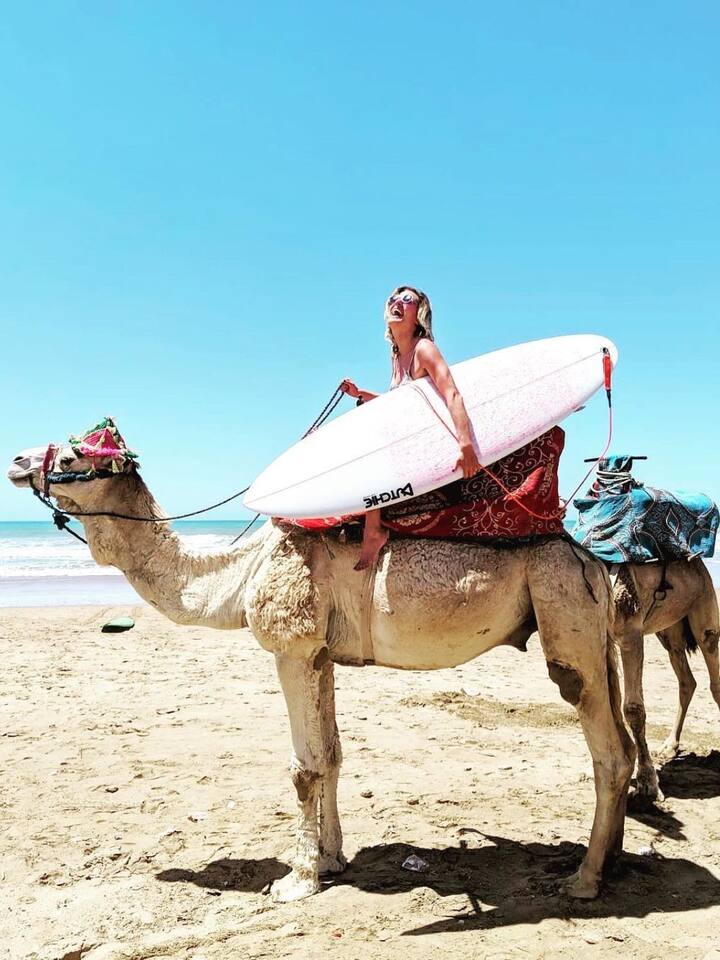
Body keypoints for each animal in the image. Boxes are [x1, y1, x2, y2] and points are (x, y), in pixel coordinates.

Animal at [8, 437, 635, 903]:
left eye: (73, 456)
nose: (16, 462)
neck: (238, 573)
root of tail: (590, 559)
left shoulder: (291, 648)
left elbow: (304, 767)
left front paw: (298, 879)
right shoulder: (321, 654)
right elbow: (332, 754)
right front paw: (332, 860)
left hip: (564, 615)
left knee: (606, 751)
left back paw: (583, 880)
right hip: (591, 631)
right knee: (624, 742)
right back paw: (613, 860)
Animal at [612, 561, 720, 804]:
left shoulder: (629, 630)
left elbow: (633, 709)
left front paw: (647, 784)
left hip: (704, 610)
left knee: (714, 679)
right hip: (670, 629)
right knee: (687, 681)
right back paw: (669, 746)